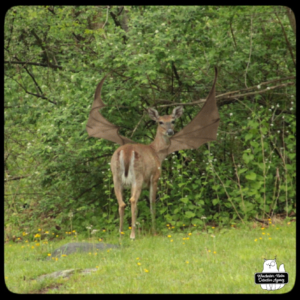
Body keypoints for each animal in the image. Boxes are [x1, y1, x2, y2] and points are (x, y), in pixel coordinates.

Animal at [85, 68, 219, 239]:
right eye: (160, 122)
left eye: (173, 120)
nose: (170, 131)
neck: (157, 153)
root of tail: (126, 151)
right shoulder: (154, 177)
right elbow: (153, 202)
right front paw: (154, 230)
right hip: (138, 175)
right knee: (133, 200)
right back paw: (133, 235)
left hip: (116, 175)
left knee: (121, 202)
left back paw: (121, 233)